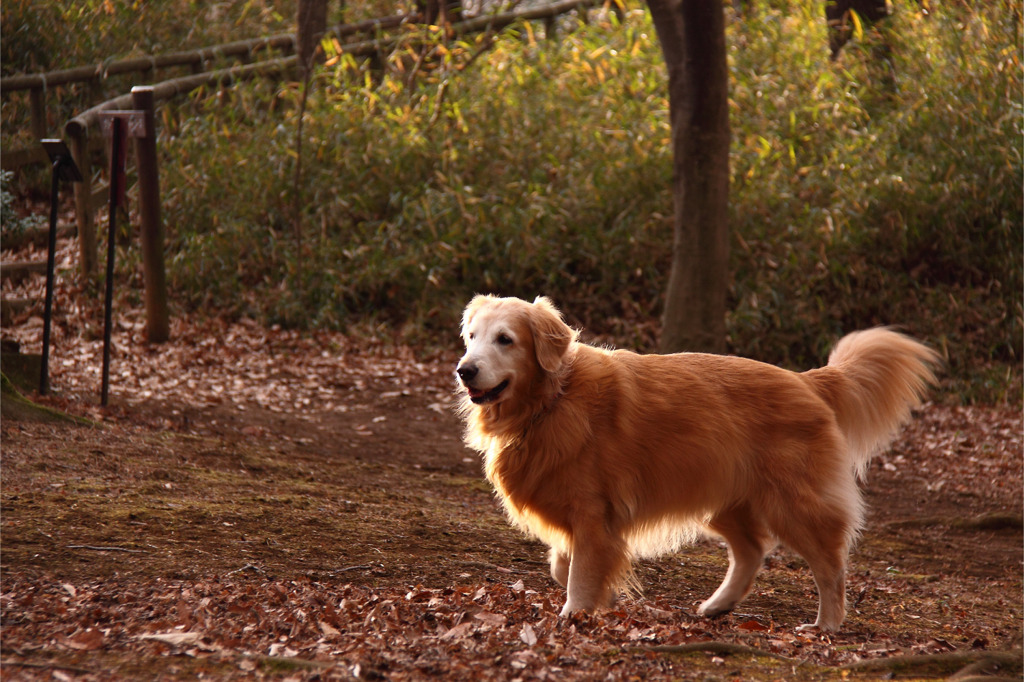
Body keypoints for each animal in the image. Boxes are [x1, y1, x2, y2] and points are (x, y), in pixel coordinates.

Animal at [460, 294, 937, 630]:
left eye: (505, 339)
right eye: (471, 337)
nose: (464, 370)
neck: (552, 400)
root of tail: (807, 380)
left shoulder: (595, 513)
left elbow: (578, 572)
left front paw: (574, 614)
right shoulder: (583, 518)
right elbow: (563, 564)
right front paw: (607, 598)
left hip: (793, 505)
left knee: (830, 566)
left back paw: (827, 624)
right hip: (725, 498)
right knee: (752, 551)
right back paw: (719, 605)